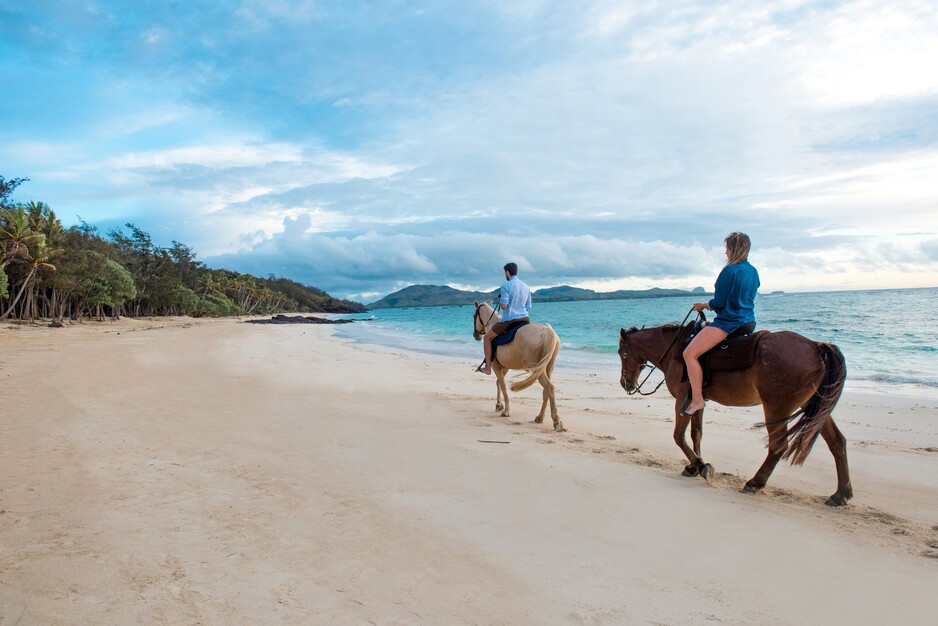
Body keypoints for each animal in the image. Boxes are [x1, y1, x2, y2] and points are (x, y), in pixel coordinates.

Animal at [616, 320, 852, 504]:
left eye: (621, 353)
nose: (625, 383)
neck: (675, 351)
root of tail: (815, 346)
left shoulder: (682, 401)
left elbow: (678, 437)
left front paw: (701, 466)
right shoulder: (697, 401)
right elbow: (696, 435)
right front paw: (694, 466)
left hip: (776, 406)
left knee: (778, 446)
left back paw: (755, 483)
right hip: (815, 405)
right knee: (837, 442)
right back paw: (841, 494)